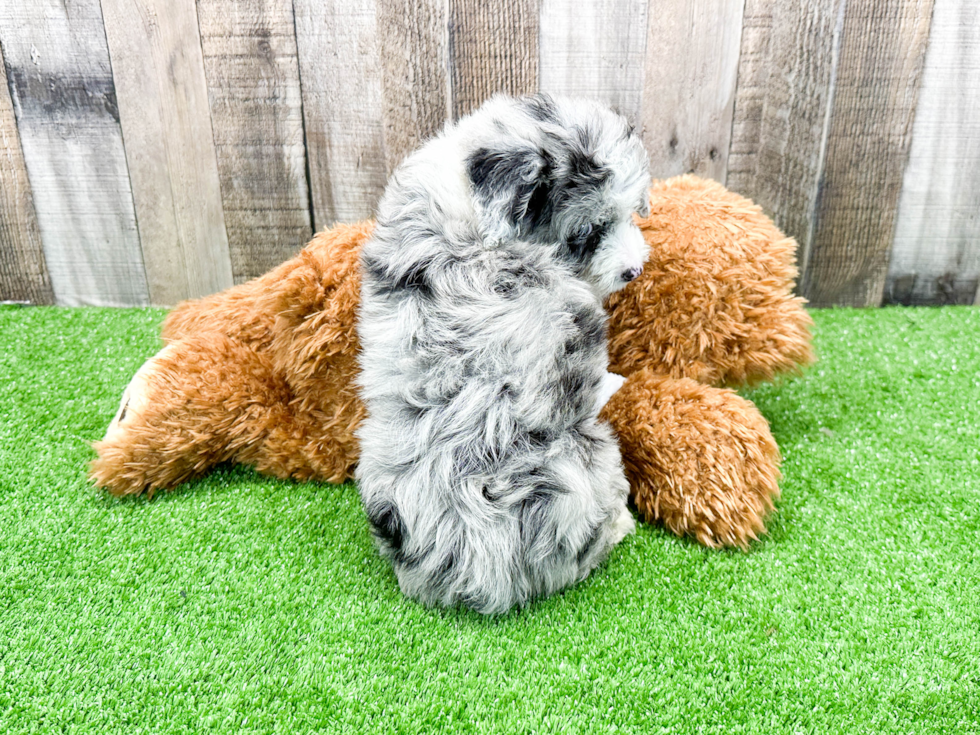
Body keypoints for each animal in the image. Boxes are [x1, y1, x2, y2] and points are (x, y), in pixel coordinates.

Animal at [354, 96, 652, 616]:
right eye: (587, 232)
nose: (634, 270)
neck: (468, 226)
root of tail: (479, 571)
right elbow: (594, 378)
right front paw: (618, 380)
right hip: (593, 459)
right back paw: (619, 527)